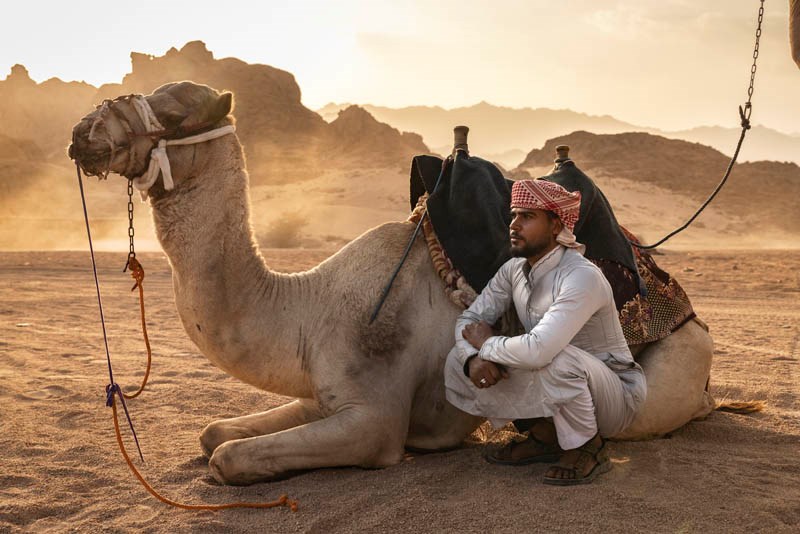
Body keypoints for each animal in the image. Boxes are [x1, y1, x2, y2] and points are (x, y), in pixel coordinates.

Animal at [70, 81, 712, 488]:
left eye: (176, 112)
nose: (83, 131)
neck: (308, 306)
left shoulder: (374, 421)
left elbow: (228, 457)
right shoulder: (323, 390)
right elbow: (213, 433)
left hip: (656, 389)